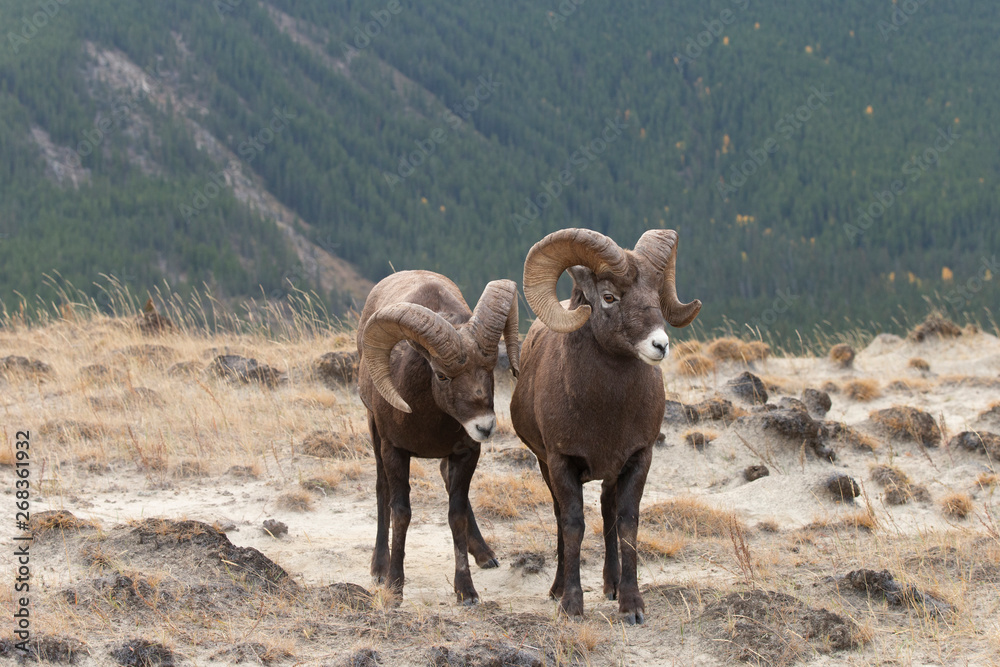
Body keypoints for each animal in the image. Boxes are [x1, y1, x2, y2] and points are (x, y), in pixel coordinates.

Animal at [357, 270, 520, 604]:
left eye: (488, 369)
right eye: (442, 375)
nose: (484, 427)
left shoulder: (466, 454)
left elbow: (456, 515)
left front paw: (466, 591)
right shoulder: (395, 452)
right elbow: (400, 513)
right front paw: (394, 588)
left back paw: (485, 555)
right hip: (374, 434)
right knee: (381, 490)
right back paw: (378, 568)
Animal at [510, 228, 701, 624]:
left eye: (656, 295)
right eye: (609, 297)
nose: (660, 345)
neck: (605, 412)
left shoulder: (637, 459)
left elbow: (627, 523)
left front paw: (632, 606)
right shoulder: (560, 463)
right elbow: (572, 525)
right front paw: (570, 604)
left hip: (610, 474)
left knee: (608, 512)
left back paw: (611, 586)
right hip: (546, 467)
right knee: (561, 518)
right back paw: (556, 589)